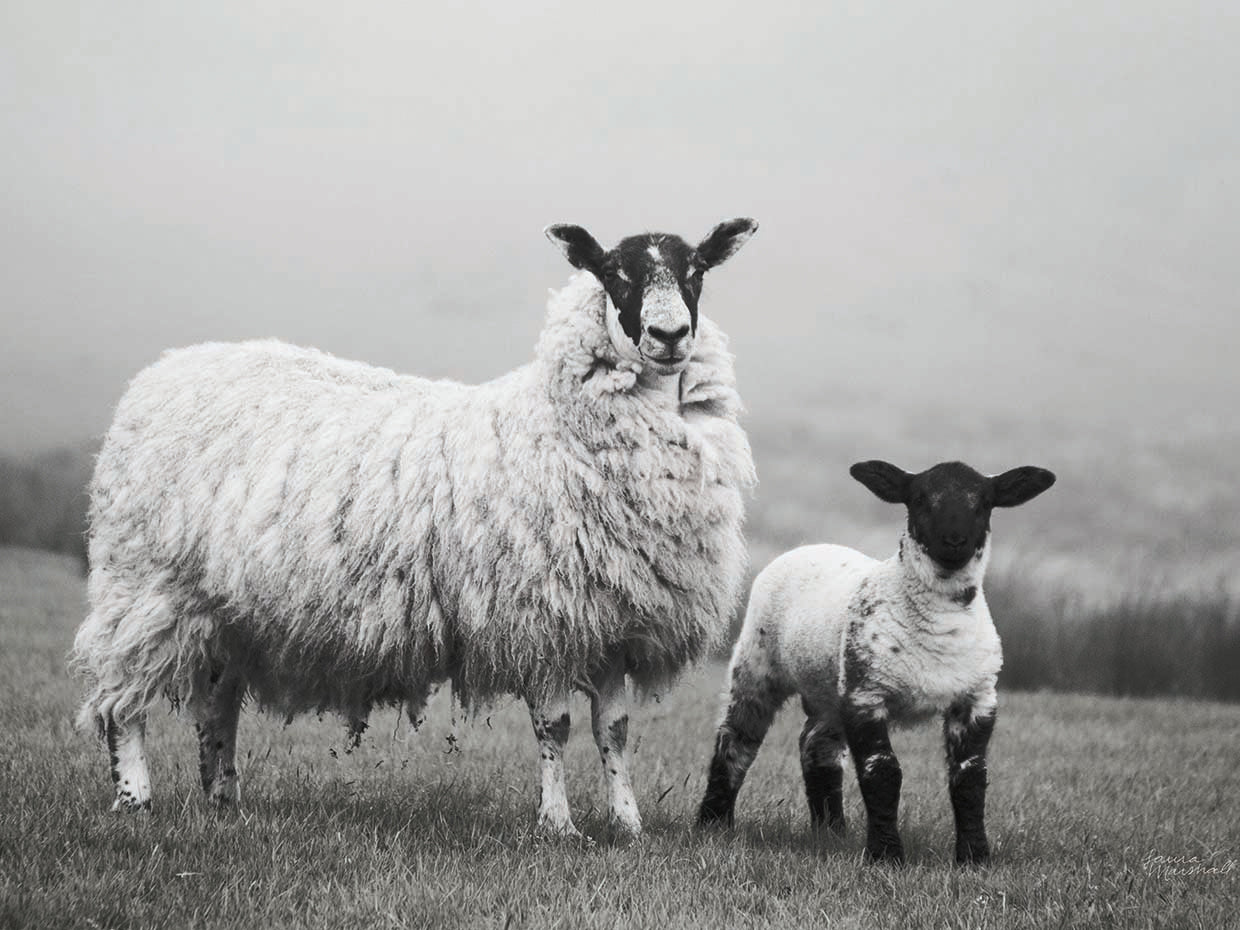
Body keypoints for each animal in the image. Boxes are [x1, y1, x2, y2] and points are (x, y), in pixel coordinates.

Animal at [70, 219, 759, 839]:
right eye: (615, 274)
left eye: (696, 270)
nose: (670, 335)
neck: (552, 421)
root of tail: (161, 372)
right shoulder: (541, 618)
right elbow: (555, 728)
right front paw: (559, 826)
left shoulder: (615, 624)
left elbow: (612, 731)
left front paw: (628, 825)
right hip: (144, 585)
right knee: (121, 700)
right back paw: (135, 799)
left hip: (227, 609)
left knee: (216, 705)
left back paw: (223, 799)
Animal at [698, 459, 1055, 864]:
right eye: (919, 499)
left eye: (984, 502)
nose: (954, 541)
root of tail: (811, 546)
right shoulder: (866, 695)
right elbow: (882, 772)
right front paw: (885, 855)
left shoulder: (977, 699)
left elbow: (970, 777)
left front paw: (974, 857)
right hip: (758, 665)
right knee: (737, 741)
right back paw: (713, 823)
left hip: (830, 687)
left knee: (817, 744)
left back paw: (831, 830)